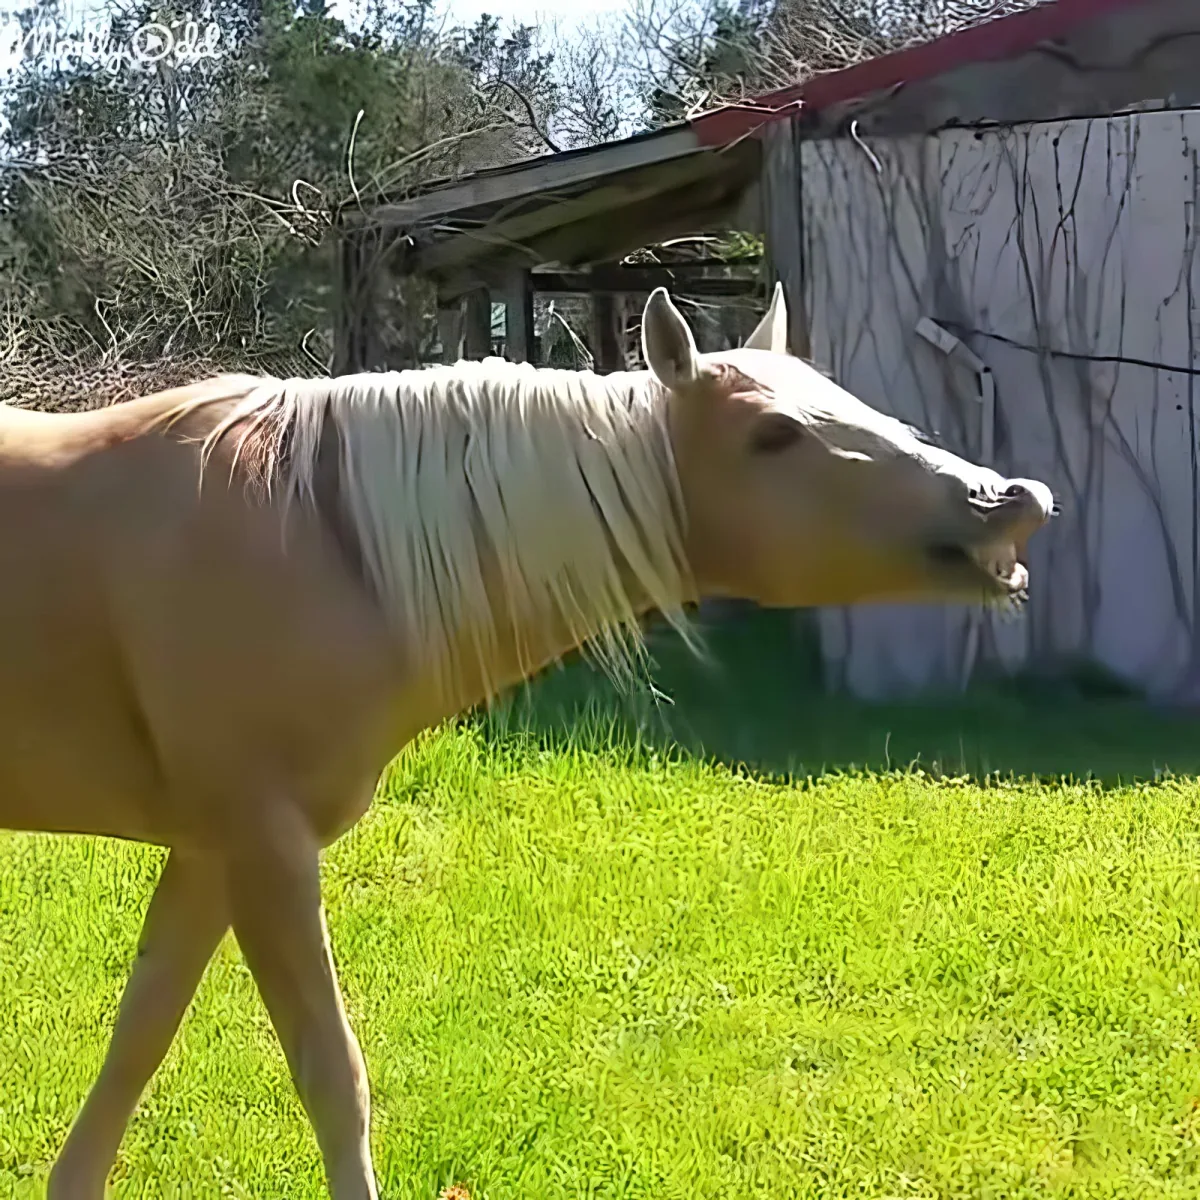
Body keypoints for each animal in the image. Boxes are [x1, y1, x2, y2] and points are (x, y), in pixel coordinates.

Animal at [0, 285, 1055, 1198]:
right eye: (773, 433)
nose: (1010, 499)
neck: (324, 540)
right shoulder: (263, 844)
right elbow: (331, 1075)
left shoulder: (213, 849)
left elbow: (140, 1036)